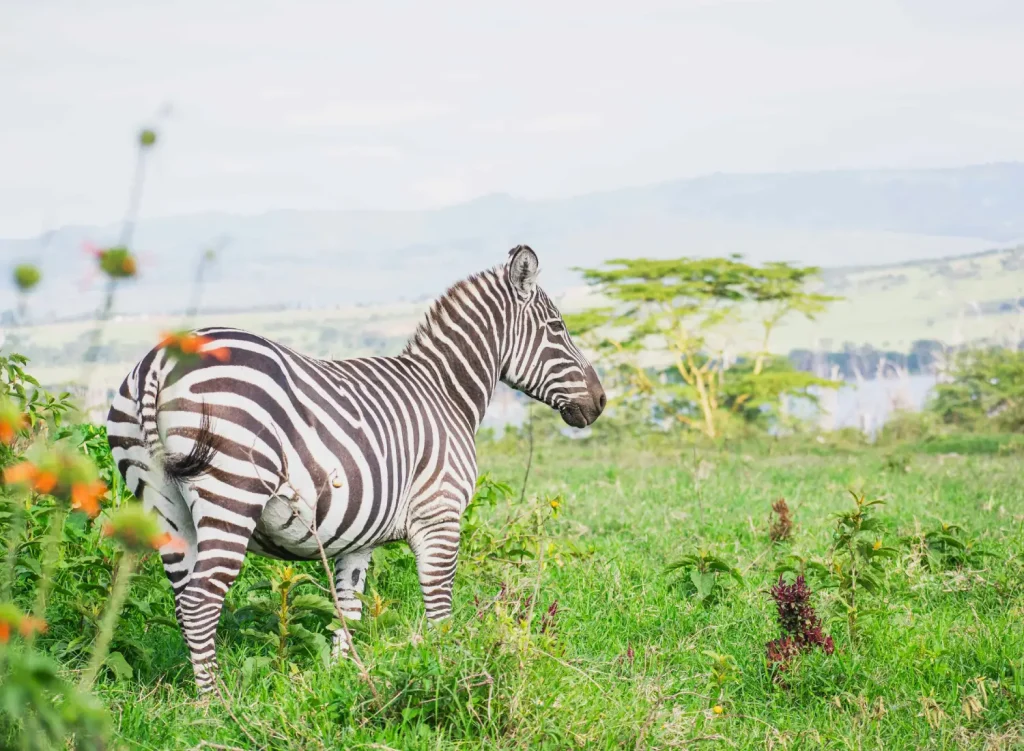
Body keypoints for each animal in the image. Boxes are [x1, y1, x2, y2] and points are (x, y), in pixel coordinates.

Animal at [106, 245, 605, 691]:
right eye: (558, 328)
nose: (600, 402)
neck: (446, 393)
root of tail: (159, 359)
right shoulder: (440, 516)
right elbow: (440, 611)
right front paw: (449, 675)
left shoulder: (357, 538)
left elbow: (348, 613)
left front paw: (347, 682)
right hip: (233, 491)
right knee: (200, 602)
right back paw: (215, 705)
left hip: (162, 504)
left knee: (182, 600)